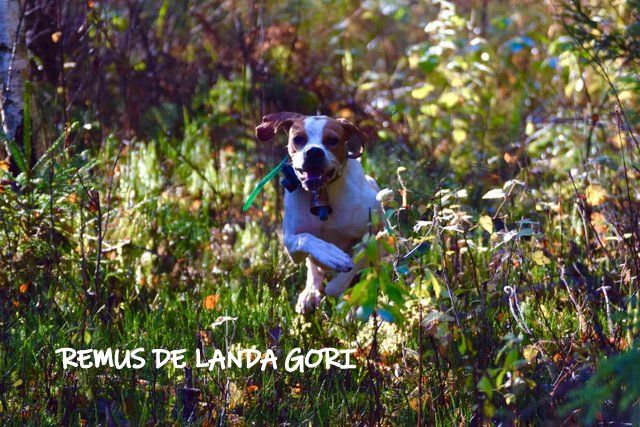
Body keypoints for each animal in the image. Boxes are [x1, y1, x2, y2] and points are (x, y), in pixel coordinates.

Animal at [255, 113, 382, 314]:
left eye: (332, 140)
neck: (322, 194)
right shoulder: (290, 244)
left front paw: (338, 287)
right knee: (313, 268)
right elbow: (306, 238)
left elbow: (357, 259)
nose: (314, 152)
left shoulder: (373, 230)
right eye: (298, 139)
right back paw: (310, 293)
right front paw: (330, 254)